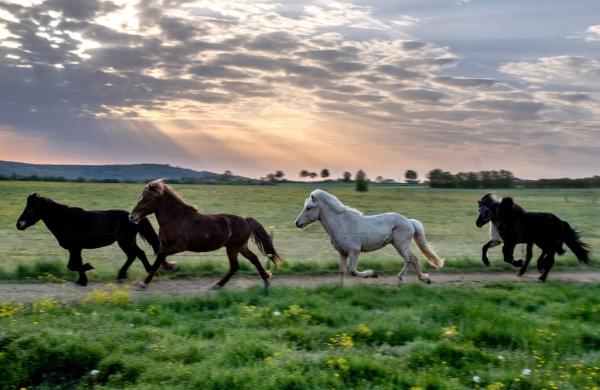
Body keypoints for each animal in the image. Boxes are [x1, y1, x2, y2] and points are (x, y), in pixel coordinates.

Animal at [15, 193, 173, 284]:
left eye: (30, 209)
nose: (18, 225)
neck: (65, 219)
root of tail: (132, 217)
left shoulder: (75, 248)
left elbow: (73, 265)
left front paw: (88, 269)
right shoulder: (75, 249)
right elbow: (74, 264)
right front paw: (81, 280)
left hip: (125, 241)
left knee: (134, 255)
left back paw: (126, 274)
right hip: (127, 241)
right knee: (138, 254)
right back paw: (138, 272)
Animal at [128, 180, 282, 290]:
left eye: (146, 200)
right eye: (139, 197)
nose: (131, 217)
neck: (176, 219)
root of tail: (246, 220)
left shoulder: (179, 246)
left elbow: (160, 257)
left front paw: (144, 283)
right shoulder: (164, 245)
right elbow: (161, 257)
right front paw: (171, 267)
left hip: (233, 248)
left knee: (235, 266)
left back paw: (218, 285)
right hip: (241, 247)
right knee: (253, 259)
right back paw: (266, 280)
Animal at [292, 190, 442, 284]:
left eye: (309, 207)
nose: (297, 223)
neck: (341, 223)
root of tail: (409, 221)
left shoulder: (354, 251)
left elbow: (352, 271)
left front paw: (372, 274)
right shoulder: (342, 253)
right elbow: (342, 271)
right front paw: (340, 288)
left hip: (400, 245)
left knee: (410, 259)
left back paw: (403, 279)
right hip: (400, 245)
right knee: (413, 259)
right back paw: (424, 279)